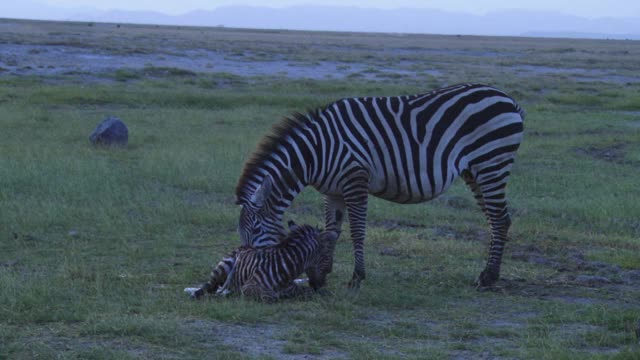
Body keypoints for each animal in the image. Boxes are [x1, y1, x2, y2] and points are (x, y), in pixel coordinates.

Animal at [185, 224, 338, 302]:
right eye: (327, 255)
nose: (323, 284)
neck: (286, 269)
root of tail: (243, 247)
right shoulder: (250, 287)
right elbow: (270, 296)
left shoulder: (293, 287)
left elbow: (305, 292)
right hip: (224, 266)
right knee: (208, 287)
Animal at [235, 83, 524, 288]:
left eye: (256, 228)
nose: (246, 266)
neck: (317, 152)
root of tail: (508, 99)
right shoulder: (332, 190)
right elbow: (331, 231)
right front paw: (322, 274)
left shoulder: (355, 180)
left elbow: (357, 231)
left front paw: (357, 277)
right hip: (475, 171)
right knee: (496, 219)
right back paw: (488, 273)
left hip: (491, 162)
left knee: (499, 219)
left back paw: (488, 278)